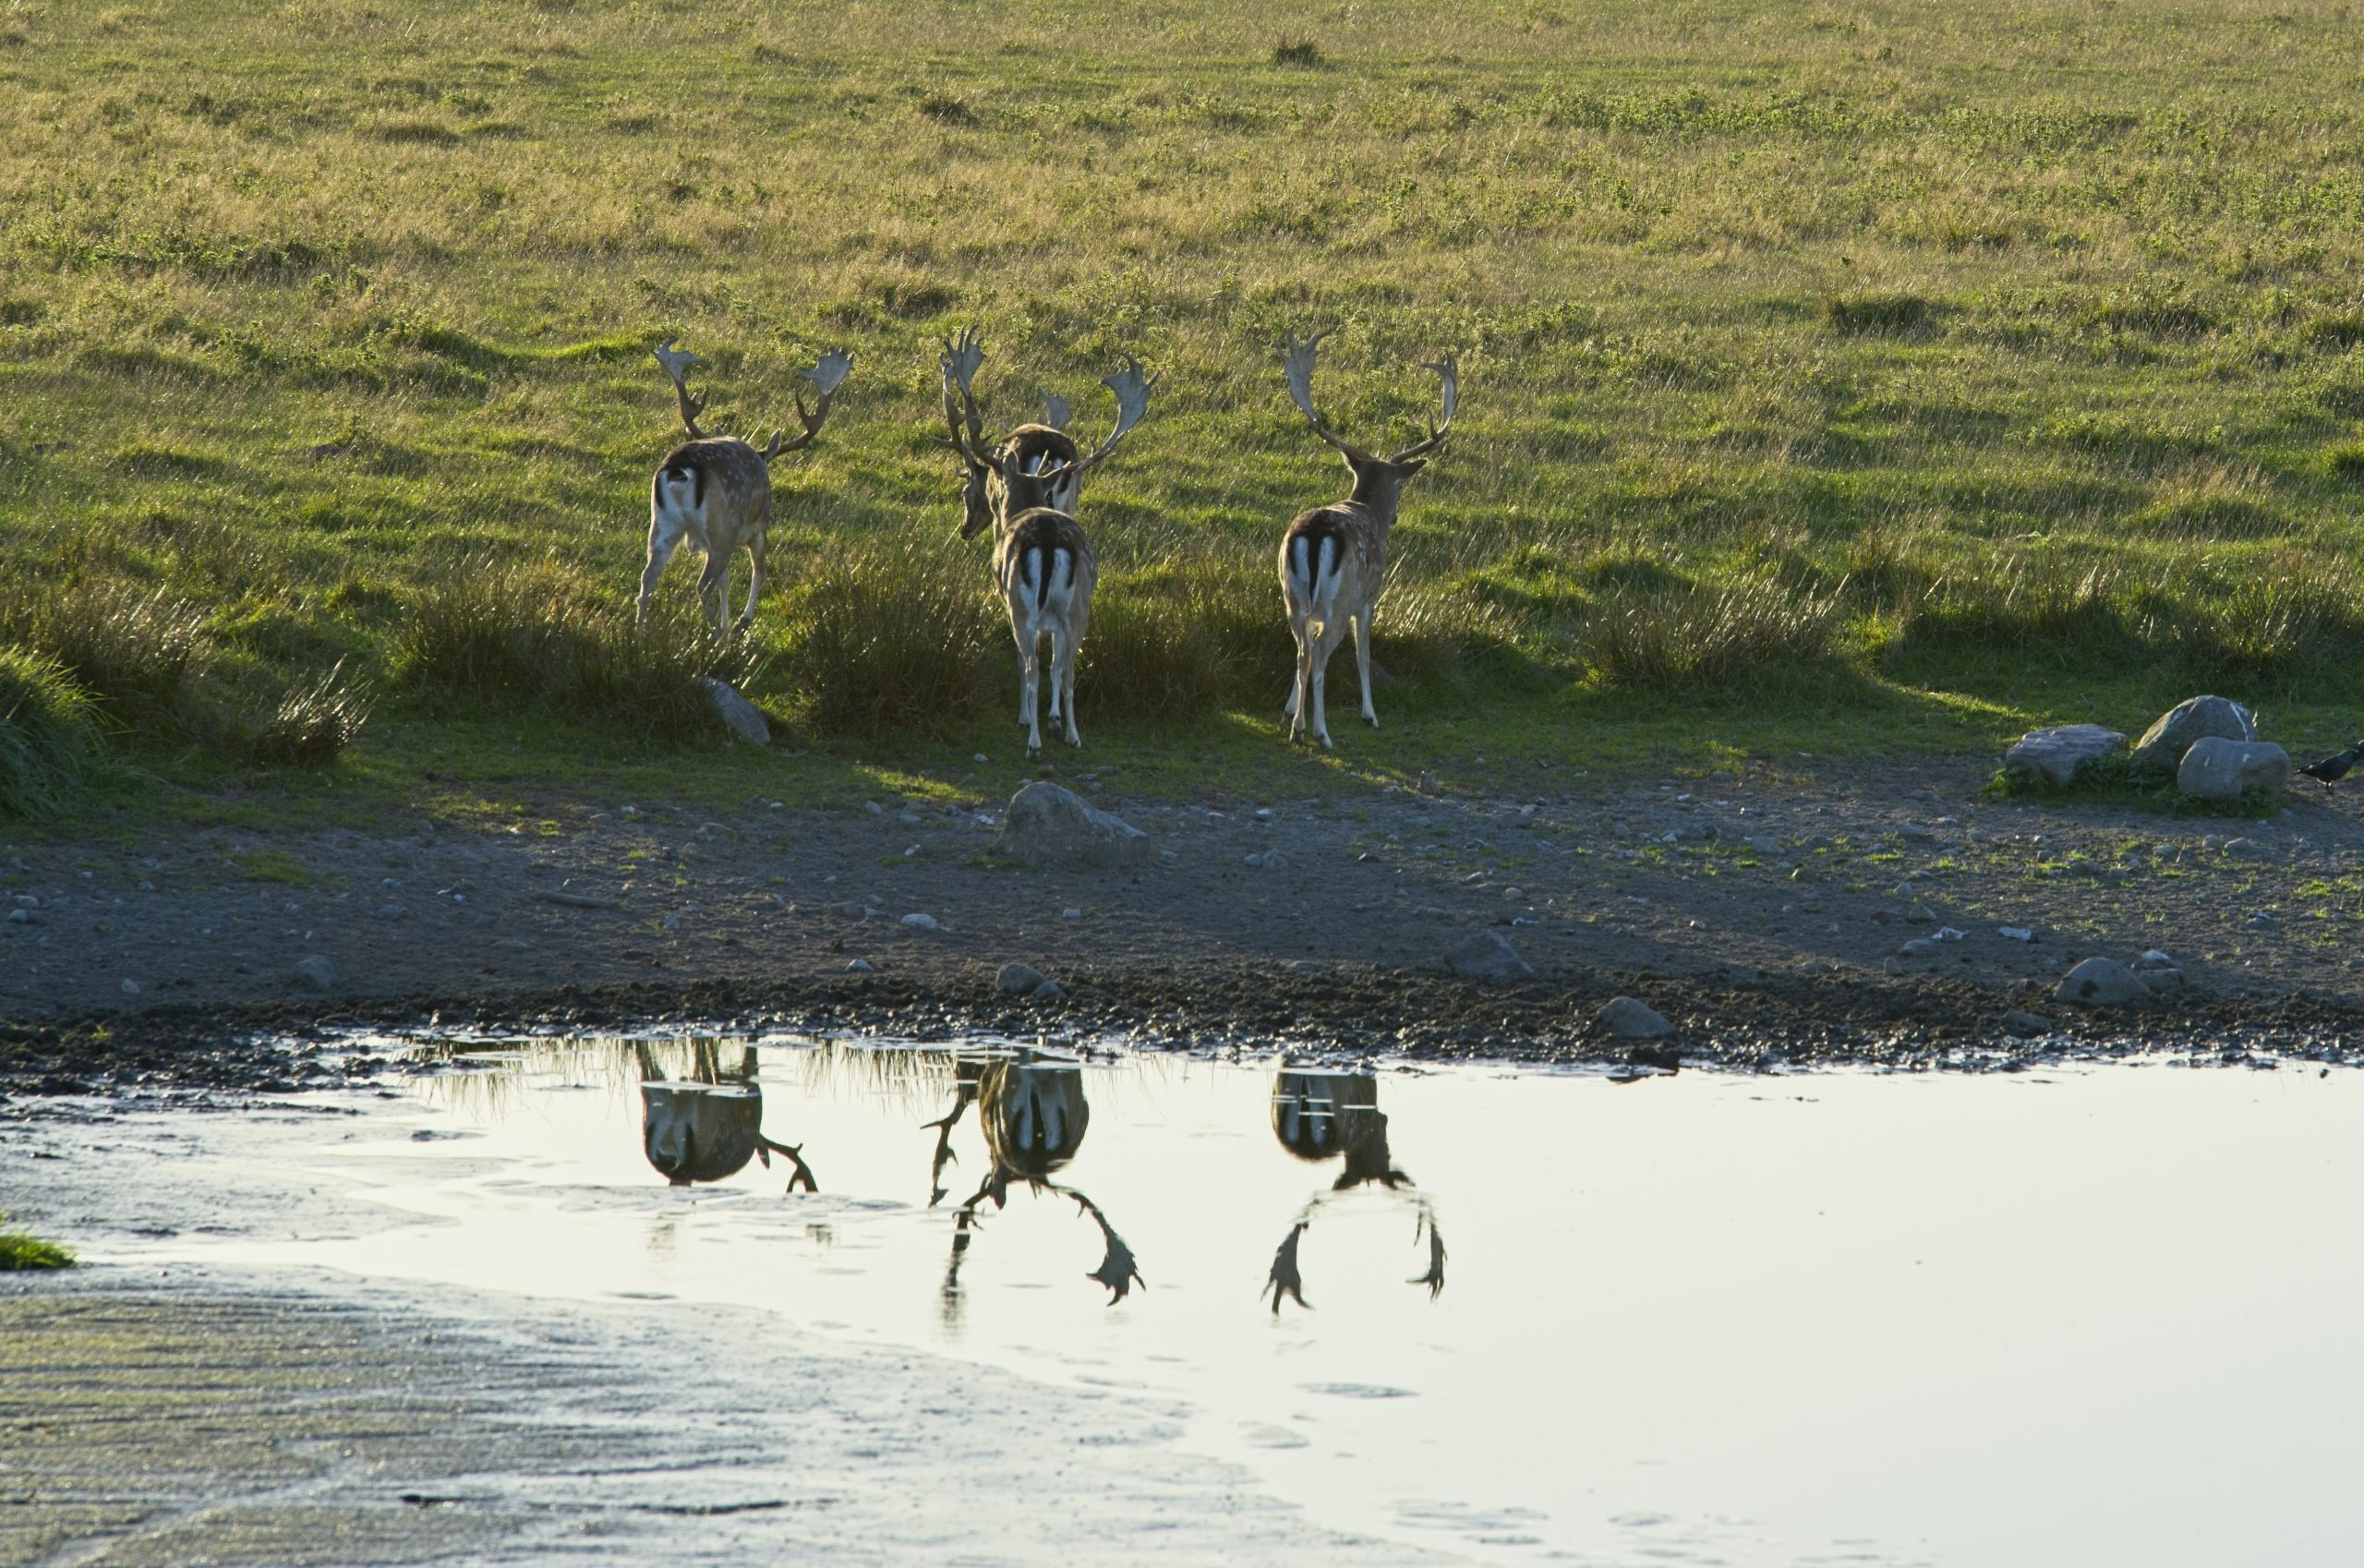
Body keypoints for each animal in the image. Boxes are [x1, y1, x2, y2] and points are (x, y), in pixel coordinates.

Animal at [639, 338, 852, 632]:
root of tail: (680, 471)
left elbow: (726, 581)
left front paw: (729, 622)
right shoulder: (759, 526)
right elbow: (759, 570)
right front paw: (742, 620)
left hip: (663, 524)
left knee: (647, 578)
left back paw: (639, 634)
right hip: (723, 527)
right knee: (704, 585)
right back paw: (714, 634)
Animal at [939, 330, 1154, 756]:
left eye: (968, 492)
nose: (965, 529)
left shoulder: (1010, 601)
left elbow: (1027, 662)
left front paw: (1028, 717)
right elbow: (1057, 662)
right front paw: (1053, 719)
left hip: (1023, 607)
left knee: (1033, 666)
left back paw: (1035, 738)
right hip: (1078, 606)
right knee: (1065, 667)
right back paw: (1068, 732)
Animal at [1274, 330, 1459, 748]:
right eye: (1400, 486)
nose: (1394, 516)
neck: (1363, 505)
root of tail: (1315, 533)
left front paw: (1290, 709)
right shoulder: (1369, 597)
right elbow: (1363, 653)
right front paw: (1370, 714)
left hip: (1291, 594)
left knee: (1301, 650)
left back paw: (1299, 725)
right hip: (1340, 600)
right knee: (1319, 655)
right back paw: (1319, 732)